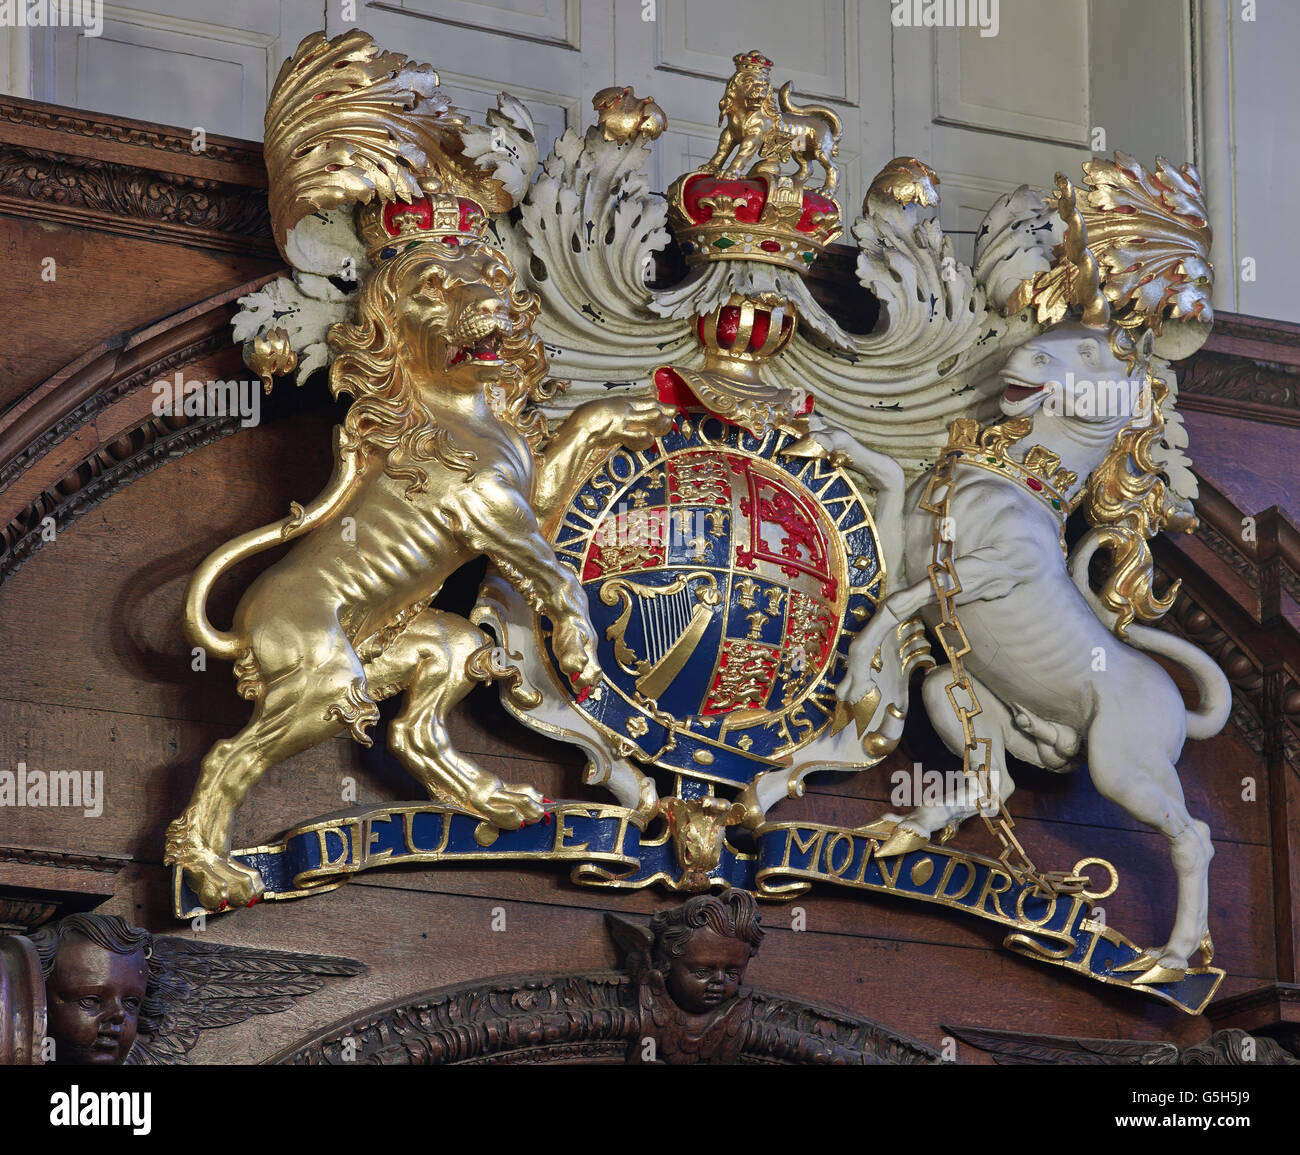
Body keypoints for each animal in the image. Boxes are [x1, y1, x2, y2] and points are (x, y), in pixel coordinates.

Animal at [169, 241, 676, 910]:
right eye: (432, 285)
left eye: (493, 277)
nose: (495, 307)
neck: (461, 409)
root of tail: (246, 623)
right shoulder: (489, 510)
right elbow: (561, 580)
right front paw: (579, 656)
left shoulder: (527, 496)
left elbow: (573, 437)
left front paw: (632, 413)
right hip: (327, 683)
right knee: (228, 757)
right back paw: (215, 876)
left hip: (428, 647)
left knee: (412, 731)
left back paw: (498, 803)